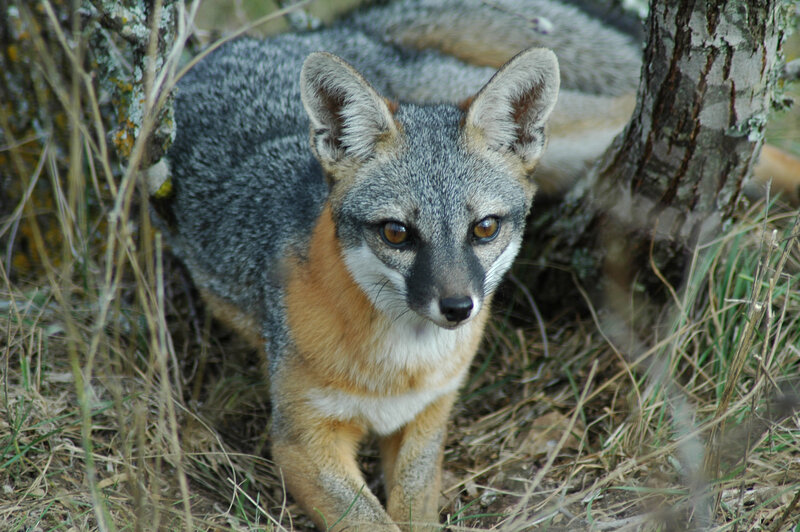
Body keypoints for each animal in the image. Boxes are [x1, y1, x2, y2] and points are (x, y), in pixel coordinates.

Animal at [150, 0, 800, 530]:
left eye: (484, 228)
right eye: (396, 232)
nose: (458, 307)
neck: (401, 364)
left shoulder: (428, 421)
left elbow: (412, 513)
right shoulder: (301, 439)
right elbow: (374, 521)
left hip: (574, 138)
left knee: (688, 123)